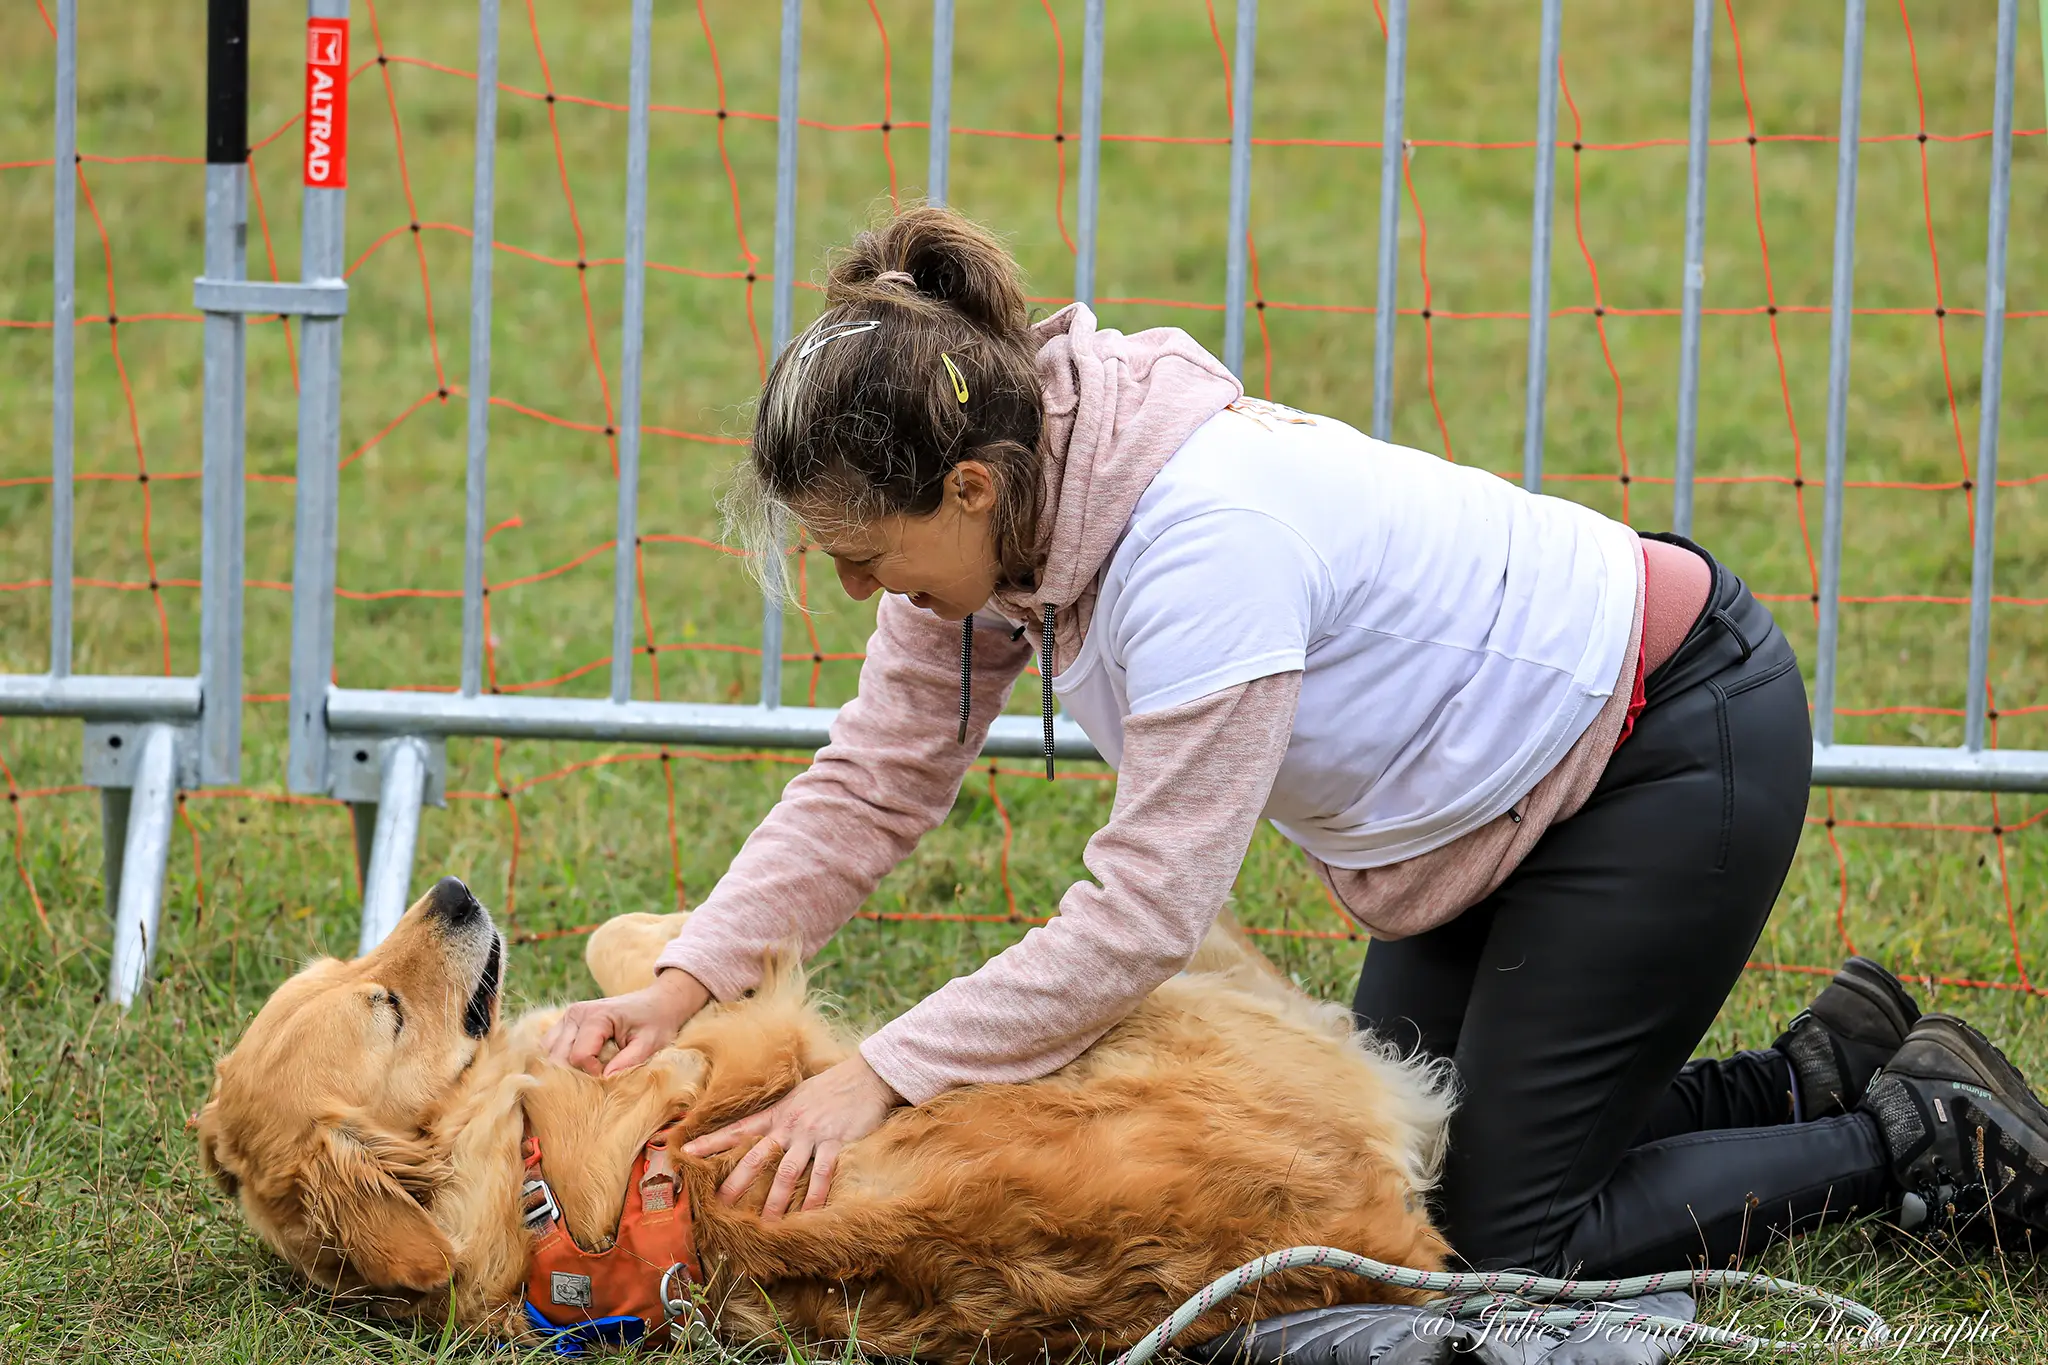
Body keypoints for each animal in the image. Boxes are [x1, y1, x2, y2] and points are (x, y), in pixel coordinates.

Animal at [195, 879, 1458, 1358]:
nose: (452, 892)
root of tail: (1381, 1240)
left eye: (348, 968)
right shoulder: (765, 1045)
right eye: (386, 1008)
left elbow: (615, 948)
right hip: (1174, 993)